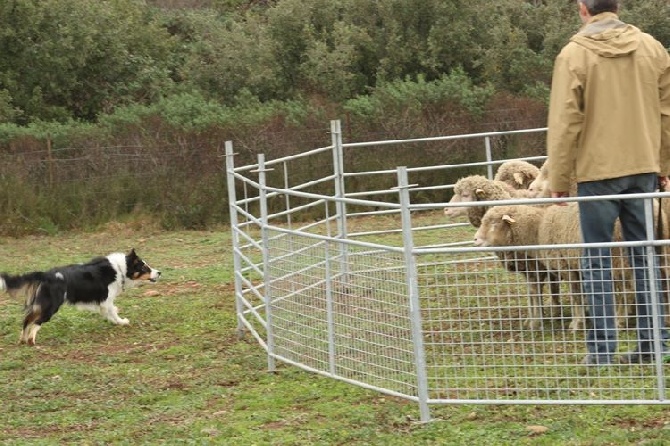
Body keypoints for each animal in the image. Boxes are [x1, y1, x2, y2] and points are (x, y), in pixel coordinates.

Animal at [0, 249, 160, 346]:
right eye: (145, 268)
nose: (159, 272)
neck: (121, 269)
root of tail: (46, 274)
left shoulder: (104, 302)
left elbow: (110, 312)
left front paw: (114, 322)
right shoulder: (106, 299)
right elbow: (113, 311)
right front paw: (121, 322)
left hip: (42, 305)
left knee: (27, 319)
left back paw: (22, 339)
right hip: (51, 307)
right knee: (36, 322)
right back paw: (31, 341)